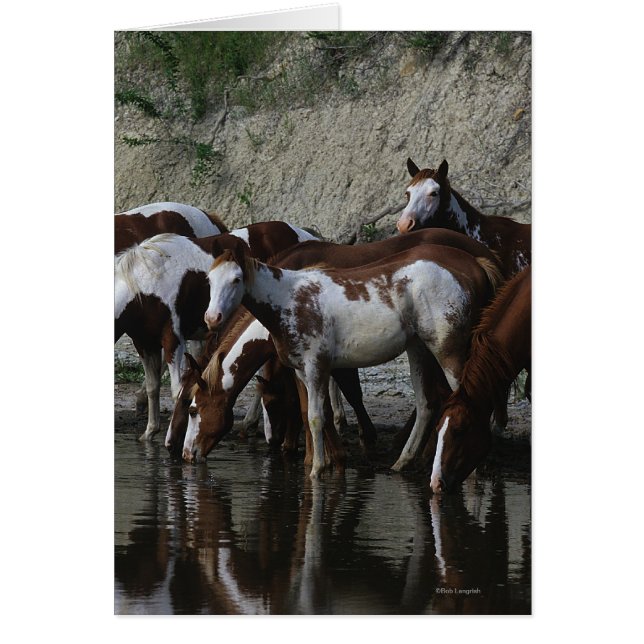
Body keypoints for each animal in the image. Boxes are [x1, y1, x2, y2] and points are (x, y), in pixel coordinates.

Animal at [115, 221, 318, 442]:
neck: (144, 284)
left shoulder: (172, 340)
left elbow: (177, 390)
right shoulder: (144, 343)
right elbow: (153, 387)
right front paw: (150, 431)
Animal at [204, 239, 503, 478]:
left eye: (236, 279)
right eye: (209, 280)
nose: (212, 318)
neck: (288, 299)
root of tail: (473, 265)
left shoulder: (316, 368)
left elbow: (315, 417)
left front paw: (317, 470)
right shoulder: (302, 371)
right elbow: (314, 414)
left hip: (448, 351)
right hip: (418, 349)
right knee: (426, 404)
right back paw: (402, 462)